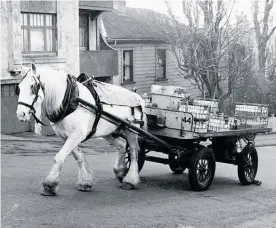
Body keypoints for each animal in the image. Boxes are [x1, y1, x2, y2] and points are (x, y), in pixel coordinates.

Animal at [16, 62, 147, 196]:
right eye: (19, 88)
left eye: (32, 87)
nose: (21, 114)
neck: (71, 99)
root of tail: (137, 96)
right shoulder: (66, 136)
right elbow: (78, 157)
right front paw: (85, 182)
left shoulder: (77, 134)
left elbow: (59, 156)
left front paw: (49, 184)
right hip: (108, 131)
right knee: (122, 145)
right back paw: (120, 171)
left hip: (131, 130)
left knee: (134, 152)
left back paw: (130, 180)